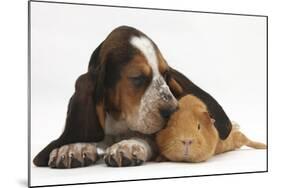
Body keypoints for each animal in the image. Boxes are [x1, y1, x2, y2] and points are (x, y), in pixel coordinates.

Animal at [32, 25, 232, 168]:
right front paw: (71, 147)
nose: (173, 111)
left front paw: (128, 145)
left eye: (166, 74)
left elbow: (144, 137)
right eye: (137, 78)